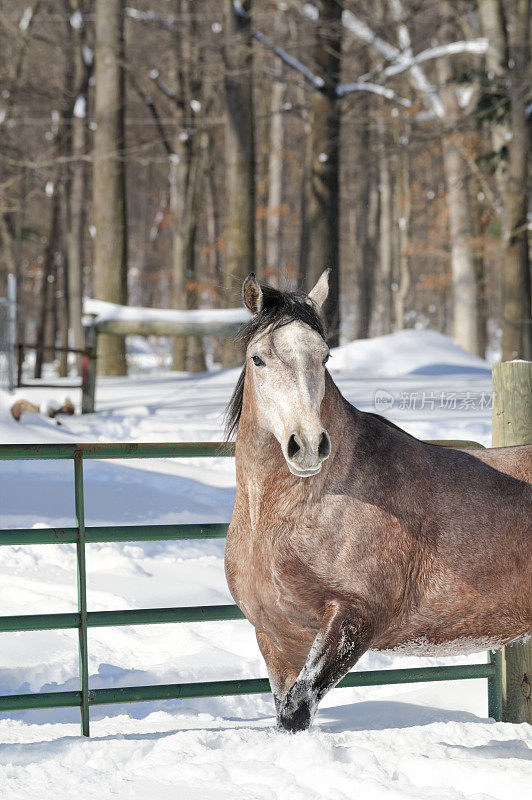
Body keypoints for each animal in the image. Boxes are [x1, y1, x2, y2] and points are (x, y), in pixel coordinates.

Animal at [222, 272, 528, 736]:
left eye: (324, 356)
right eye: (258, 359)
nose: (308, 445)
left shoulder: (355, 617)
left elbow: (298, 710)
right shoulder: (276, 636)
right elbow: (285, 714)